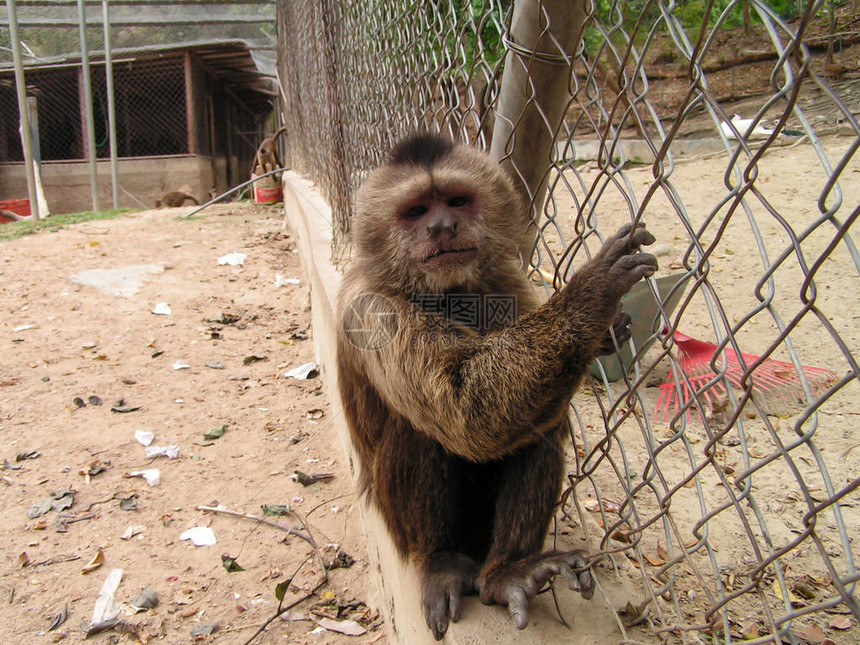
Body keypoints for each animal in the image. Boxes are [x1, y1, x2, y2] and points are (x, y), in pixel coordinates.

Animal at [336, 132, 660, 640]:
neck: (445, 294)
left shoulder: (506, 276)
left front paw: (605, 334)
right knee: (424, 427)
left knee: (539, 430)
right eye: (416, 211)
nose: (442, 227)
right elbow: (466, 410)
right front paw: (592, 293)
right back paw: (441, 561)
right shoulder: (370, 307)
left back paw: (506, 573)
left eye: (456, 201)